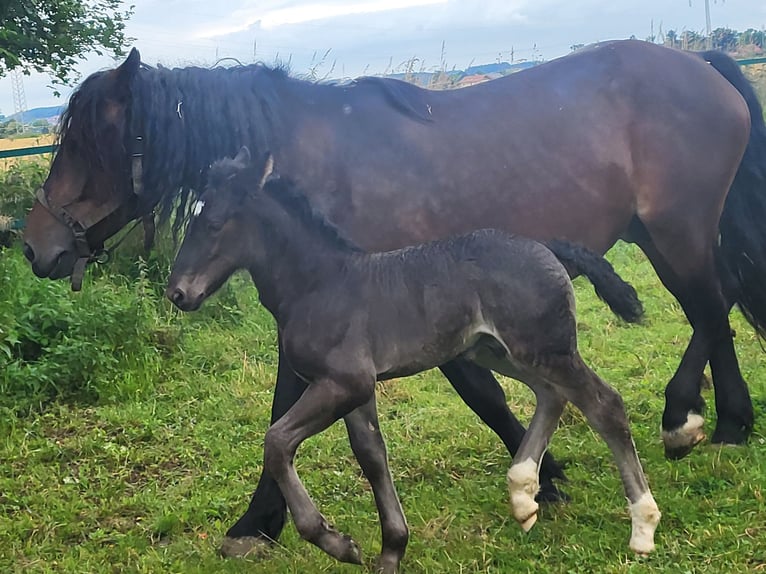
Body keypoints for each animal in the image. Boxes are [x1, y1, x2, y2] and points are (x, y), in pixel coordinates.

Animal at [21, 39, 764, 560]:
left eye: (85, 142)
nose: (34, 247)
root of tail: (699, 63)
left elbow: (309, 415)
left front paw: (257, 525)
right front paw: (538, 479)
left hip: (676, 232)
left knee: (711, 307)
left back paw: (695, 421)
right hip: (661, 236)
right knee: (716, 305)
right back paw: (717, 420)